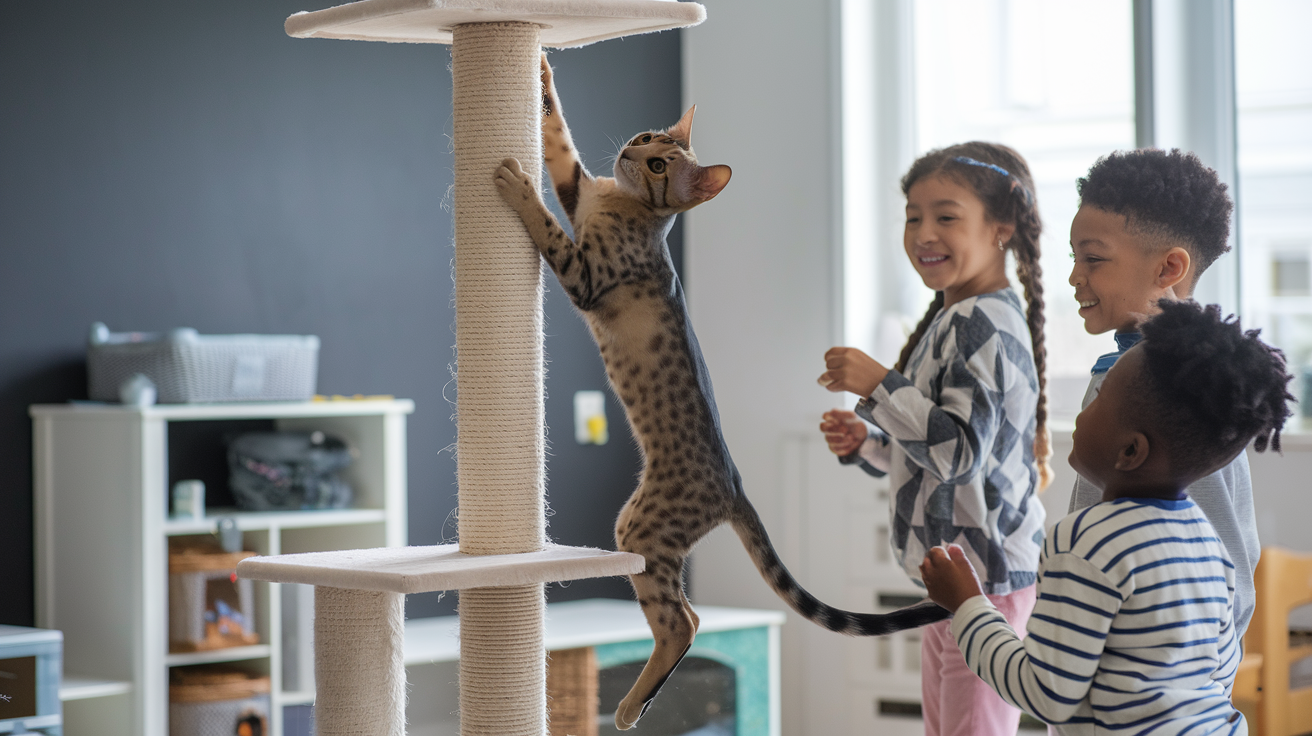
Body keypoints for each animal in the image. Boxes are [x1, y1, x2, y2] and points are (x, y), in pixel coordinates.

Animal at [490, 57, 944, 729]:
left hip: (644, 530)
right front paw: (541, 73)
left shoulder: (588, 274)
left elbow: (547, 225)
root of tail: (734, 484)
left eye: (659, 166)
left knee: (683, 622)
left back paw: (628, 708)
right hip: (637, 528)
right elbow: (559, 141)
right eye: (647, 138)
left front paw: (516, 182)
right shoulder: (579, 187)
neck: (623, 203)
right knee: (689, 617)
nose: (630, 150)